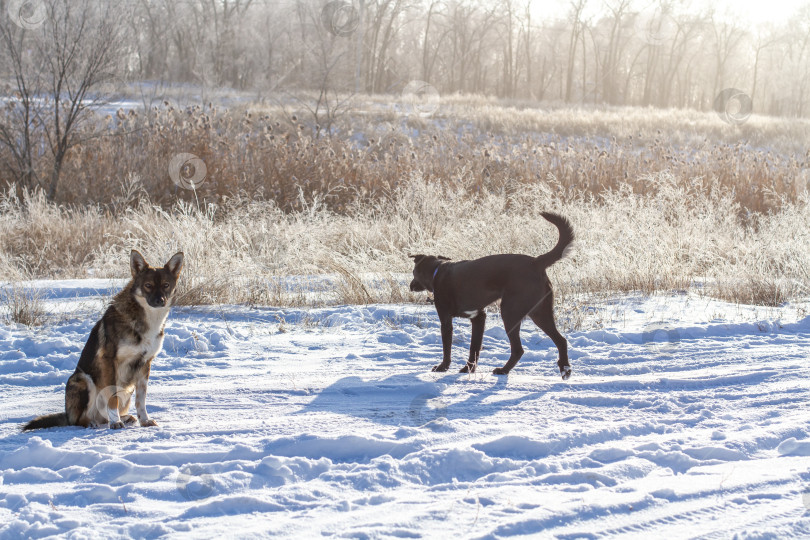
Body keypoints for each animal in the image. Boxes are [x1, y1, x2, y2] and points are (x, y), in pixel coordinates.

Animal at [410, 212, 576, 380]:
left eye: (413, 272)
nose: (410, 285)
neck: (437, 271)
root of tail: (536, 262)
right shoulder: (478, 317)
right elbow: (474, 347)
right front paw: (468, 369)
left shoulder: (446, 319)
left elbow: (447, 348)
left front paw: (442, 367)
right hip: (540, 312)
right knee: (561, 341)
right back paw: (565, 369)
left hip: (511, 312)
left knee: (519, 349)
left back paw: (503, 370)